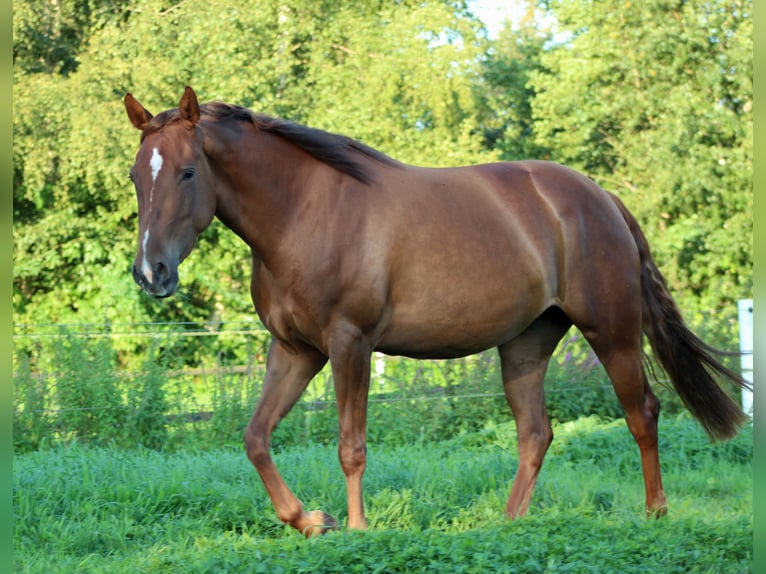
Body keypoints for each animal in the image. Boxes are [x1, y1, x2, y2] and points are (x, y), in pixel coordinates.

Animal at [124, 86, 749, 537]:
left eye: (187, 171)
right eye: (136, 176)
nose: (152, 272)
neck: (305, 211)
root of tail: (603, 199)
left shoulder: (350, 343)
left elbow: (351, 446)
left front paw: (357, 529)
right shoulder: (296, 351)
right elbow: (255, 437)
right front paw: (312, 521)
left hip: (612, 330)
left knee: (641, 413)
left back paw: (655, 514)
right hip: (525, 344)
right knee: (536, 433)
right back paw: (507, 525)